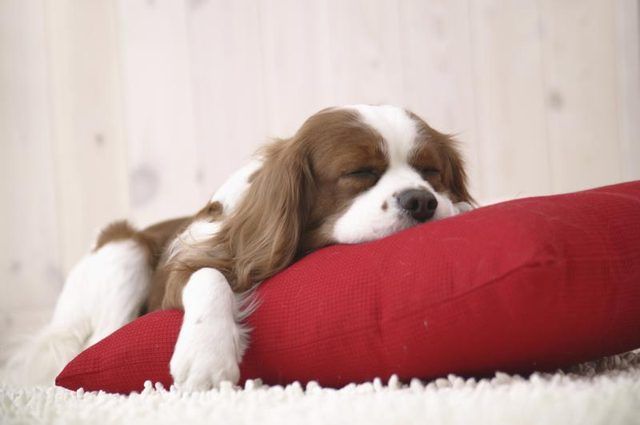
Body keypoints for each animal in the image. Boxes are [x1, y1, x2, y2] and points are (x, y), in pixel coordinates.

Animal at [3, 105, 476, 388]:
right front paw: (206, 355)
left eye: (431, 172)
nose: (421, 201)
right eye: (359, 172)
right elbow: (208, 276)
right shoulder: (181, 272)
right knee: (97, 340)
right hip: (123, 249)